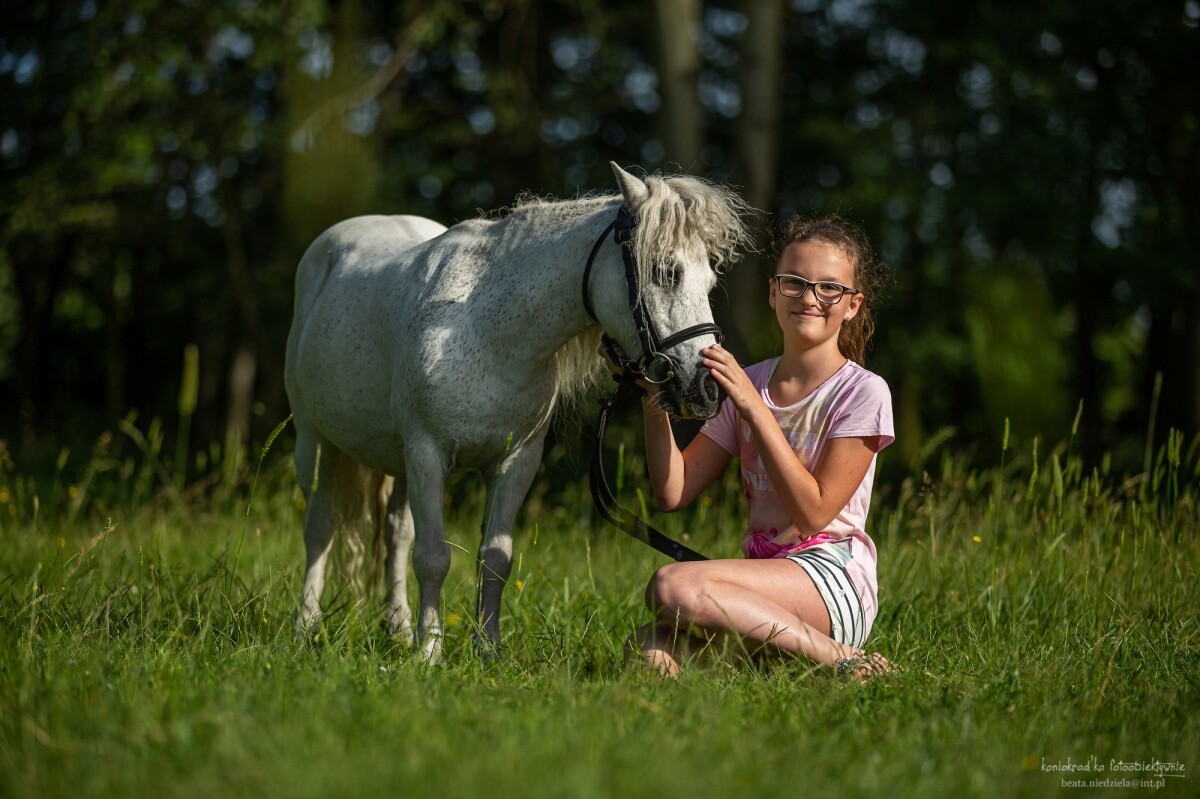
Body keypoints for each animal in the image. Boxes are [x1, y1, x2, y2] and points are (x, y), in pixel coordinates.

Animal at [284, 161, 744, 657]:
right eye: (666, 271)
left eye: (709, 281)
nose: (708, 390)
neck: (488, 333)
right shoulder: (428, 454)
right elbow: (433, 559)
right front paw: (430, 652)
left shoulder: (515, 462)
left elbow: (495, 558)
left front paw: (486, 650)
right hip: (317, 444)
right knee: (320, 529)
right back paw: (306, 626)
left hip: (398, 464)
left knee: (396, 534)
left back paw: (399, 627)